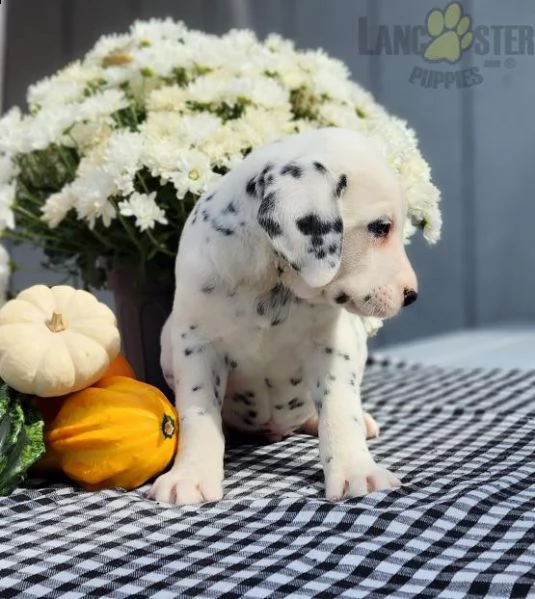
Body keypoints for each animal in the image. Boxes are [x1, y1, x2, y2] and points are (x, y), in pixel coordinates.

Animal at [150, 127, 418, 506]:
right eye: (380, 227)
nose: (412, 295)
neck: (270, 282)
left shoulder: (330, 347)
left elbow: (339, 410)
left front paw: (356, 470)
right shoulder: (197, 347)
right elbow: (198, 415)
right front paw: (190, 475)